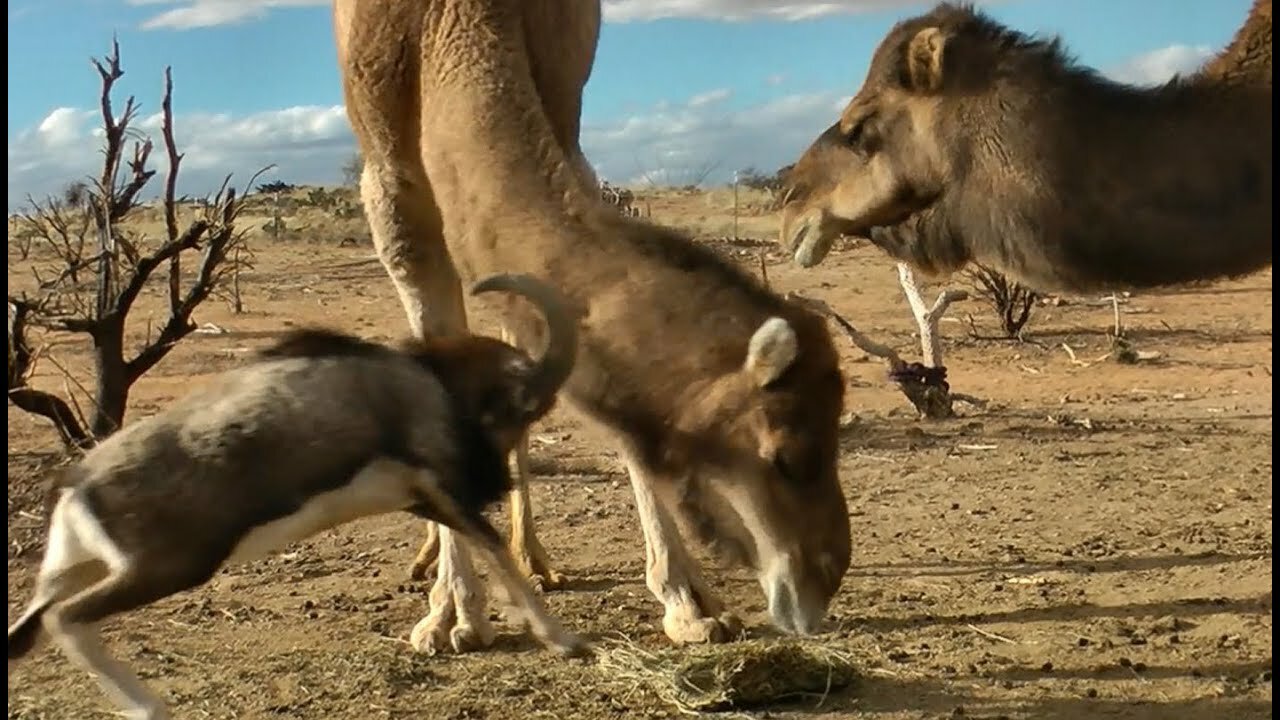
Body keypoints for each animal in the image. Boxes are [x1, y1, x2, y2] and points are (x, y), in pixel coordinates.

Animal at [335, 0, 855, 650]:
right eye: (784, 456)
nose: (825, 578)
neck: (445, 25)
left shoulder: (563, 103)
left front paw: (691, 605)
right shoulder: (392, 192)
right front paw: (454, 616)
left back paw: (531, 557)